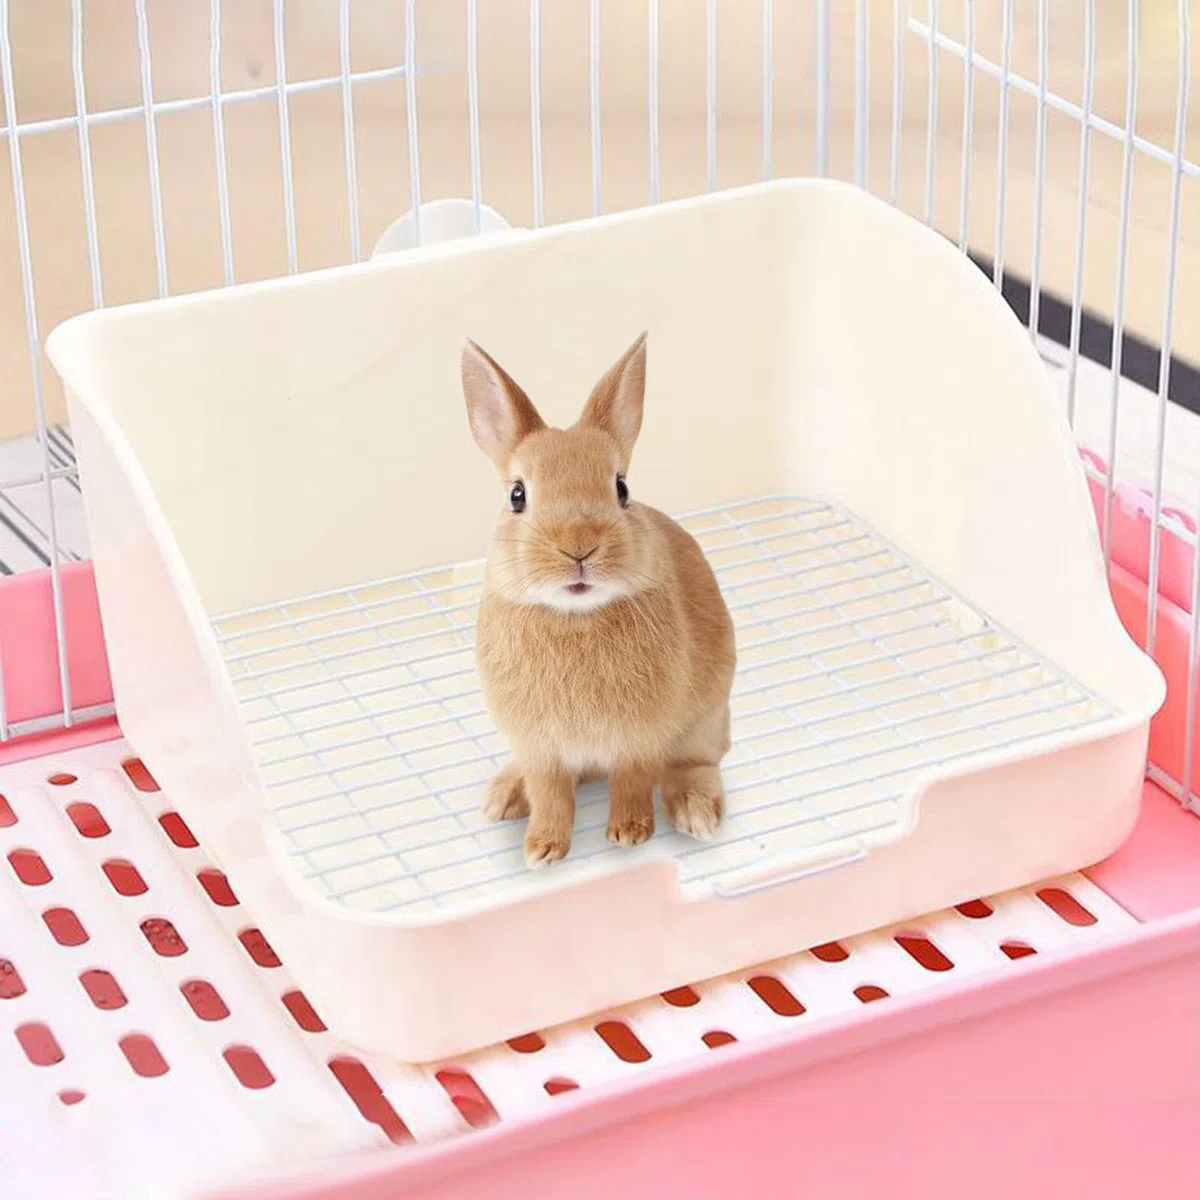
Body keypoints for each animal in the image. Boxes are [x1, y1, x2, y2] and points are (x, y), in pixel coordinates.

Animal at [461, 332, 737, 867]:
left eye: (622, 488)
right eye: (517, 495)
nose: (578, 547)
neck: (574, 616)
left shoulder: (638, 739)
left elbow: (631, 782)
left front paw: (629, 834)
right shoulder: (540, 747)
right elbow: (551, 794)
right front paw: (542, 849)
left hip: (705, 720)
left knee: (693, 763)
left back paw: (696, 813)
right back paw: (504, 796)